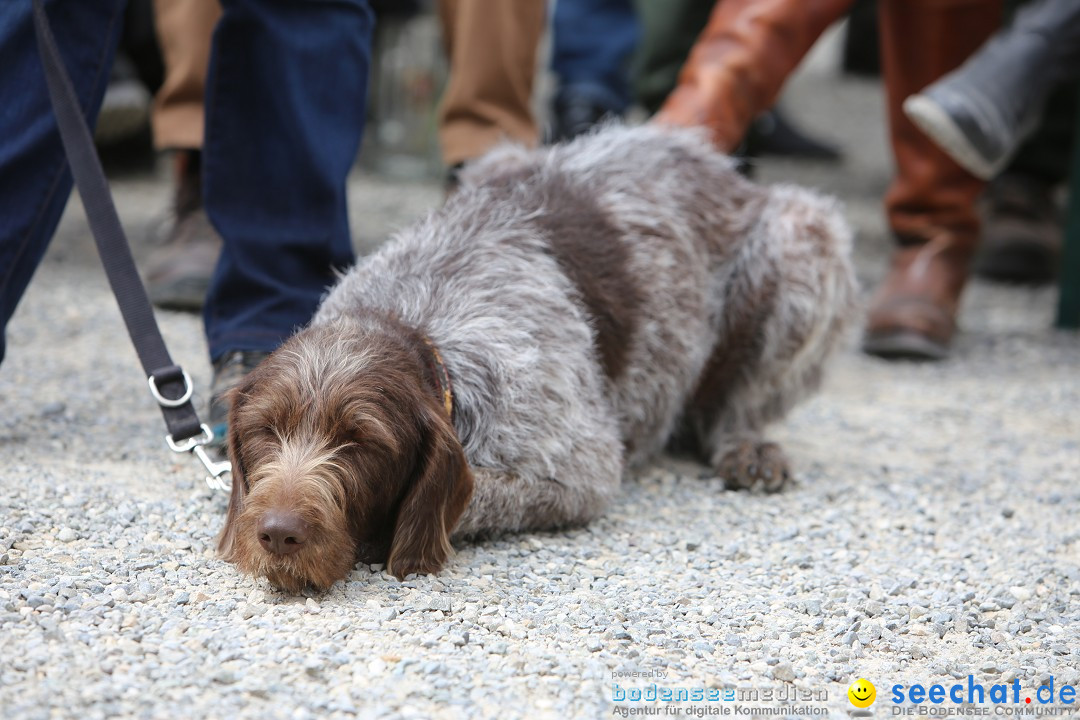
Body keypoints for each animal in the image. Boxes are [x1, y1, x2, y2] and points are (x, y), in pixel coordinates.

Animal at [217, 126, 859, 595]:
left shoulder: (582, 471)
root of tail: (716, 162)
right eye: (264, 431)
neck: (417, 323)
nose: (278, 535)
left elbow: (475, 496)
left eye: (361, 443)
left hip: (802, 231)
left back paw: (743, 441)